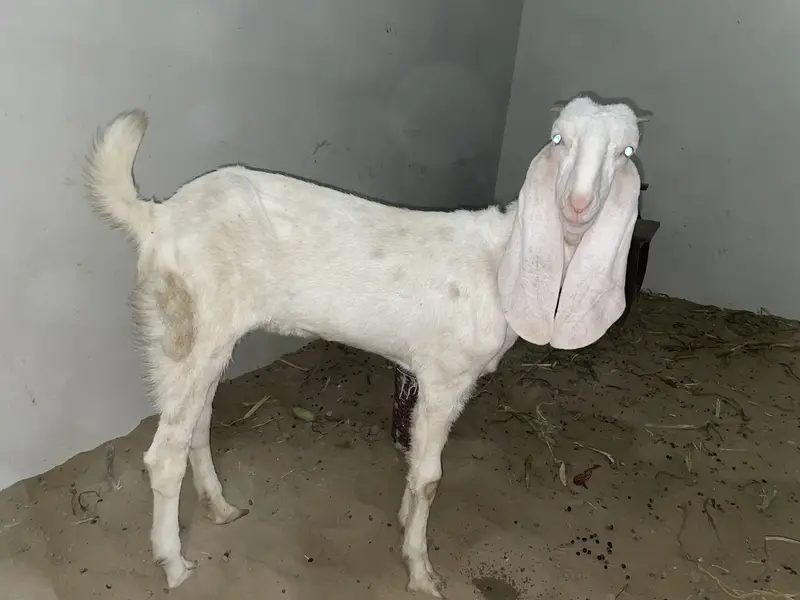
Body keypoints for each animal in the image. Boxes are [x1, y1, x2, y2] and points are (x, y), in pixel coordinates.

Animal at [84, 95, 646, 597]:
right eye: (558, 139)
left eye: (625, 152)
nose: (578, 206)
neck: (500, 258)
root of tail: (156, 217)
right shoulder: (445, 377)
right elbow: (430, 478)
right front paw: (421, 572)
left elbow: (415, 468)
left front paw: (404, 524)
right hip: (188, 328)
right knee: (164, 452)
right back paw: (175, 564)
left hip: (207, 337)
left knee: (196, 424)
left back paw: (220, 509)